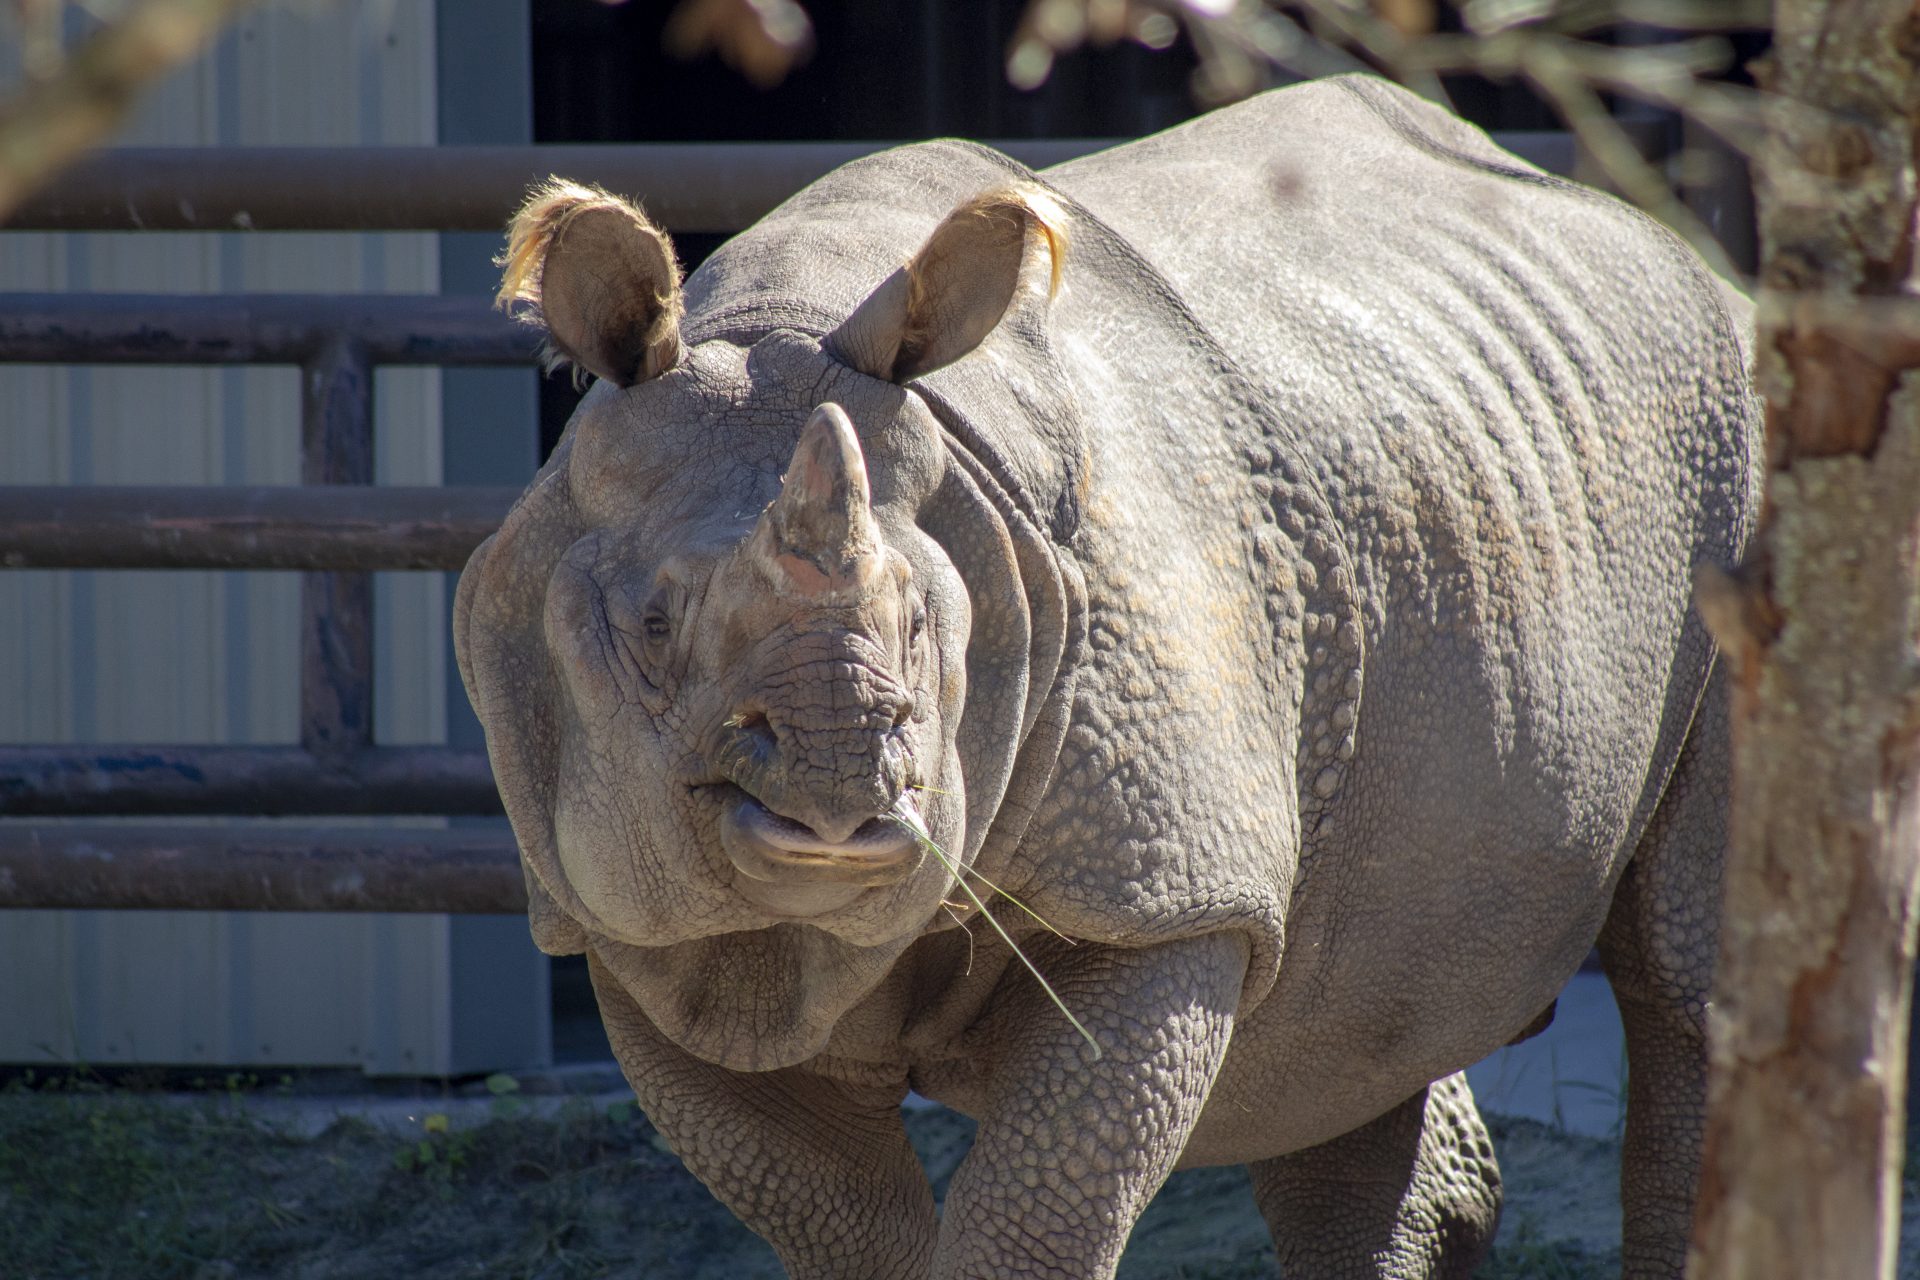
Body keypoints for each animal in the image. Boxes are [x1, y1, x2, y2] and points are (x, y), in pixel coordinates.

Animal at [455, 74, 1758, 1278]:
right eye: (655, 623)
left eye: (926, 628)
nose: (840, 797)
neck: (776, 321)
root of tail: (1681, 251)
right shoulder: (626, 919)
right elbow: (840, 1220)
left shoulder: (1162, 887)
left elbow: (1038, 1209)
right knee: (1350, 1032)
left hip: (1740, 463)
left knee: (1685, 977)